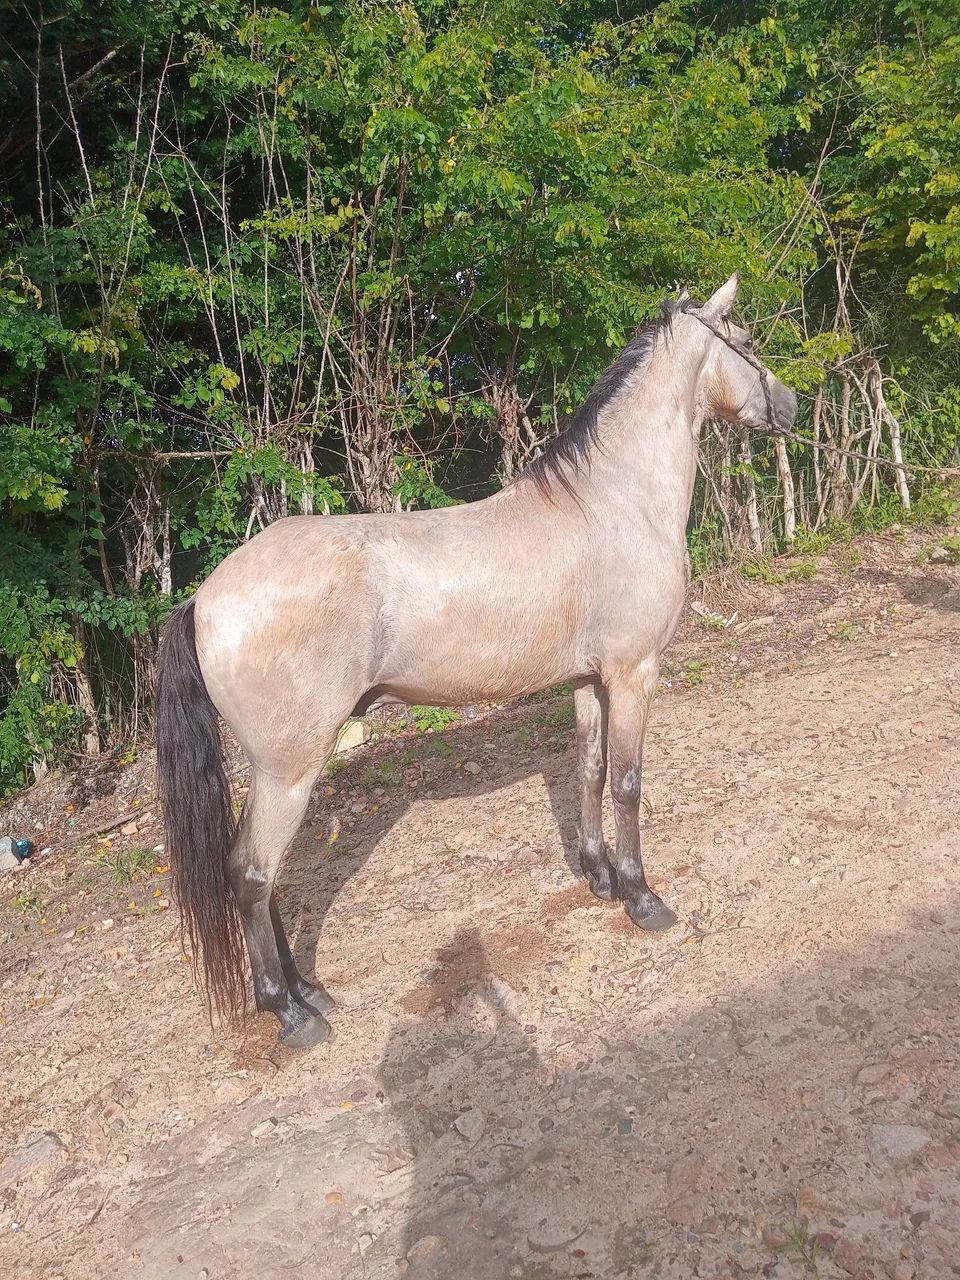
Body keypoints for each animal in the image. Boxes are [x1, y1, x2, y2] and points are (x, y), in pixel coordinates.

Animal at [155, 272, 797, 1049]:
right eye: (748, 342)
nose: (793, 406)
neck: (613, 499)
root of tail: (203, 599)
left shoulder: (589, 680)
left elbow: (588, 771)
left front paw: (600, 878)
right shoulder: (634, 673)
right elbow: (627, 785)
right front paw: (643, 897)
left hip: (275, 768)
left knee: (264, 874)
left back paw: (311, 989)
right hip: (290, 768)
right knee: (252, 873)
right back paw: (289, 1010)